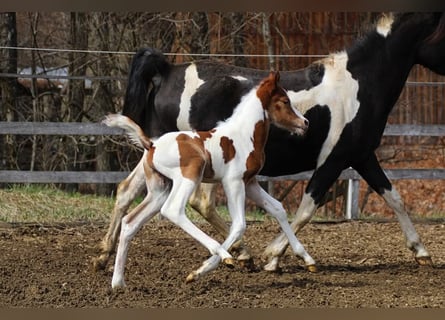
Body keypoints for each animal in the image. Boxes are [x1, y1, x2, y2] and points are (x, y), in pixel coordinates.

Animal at [103, 72, 312, 288]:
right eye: (285, 101)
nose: (305, 122)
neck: (244, 136)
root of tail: (151, 145)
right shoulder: (233, 182)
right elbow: (239, 225)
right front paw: (204, 269)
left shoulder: (250, 183)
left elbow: (277, 208)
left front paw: (306, 258)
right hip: (190, 175)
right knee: (173, 210)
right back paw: (219, 252)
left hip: (160, 189)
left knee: (130, 222)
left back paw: (118, 283)